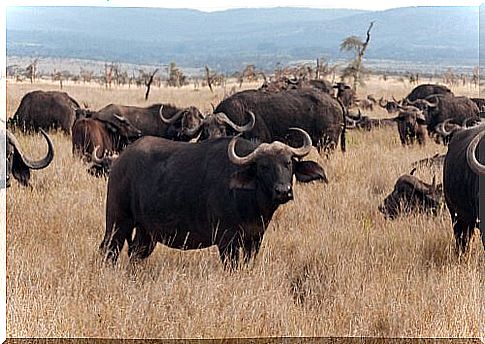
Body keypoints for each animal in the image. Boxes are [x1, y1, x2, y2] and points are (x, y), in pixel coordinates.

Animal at [99, 127, 328, 268]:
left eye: (288, 163)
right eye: (264, 166)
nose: (283, 191)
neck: (250, 203)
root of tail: (120, 162)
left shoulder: (254, 239)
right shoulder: (227, 241)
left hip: (146, 232)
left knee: (135, 253)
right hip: (118, 222)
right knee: (109, 250)